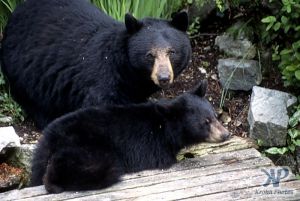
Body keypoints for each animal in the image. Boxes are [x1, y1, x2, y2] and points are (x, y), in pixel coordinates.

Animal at [0, 0, 191, 129]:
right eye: (149, 55)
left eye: (172, 52)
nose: (164, 77)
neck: (128, 73)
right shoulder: (103, 80)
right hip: (25, 70)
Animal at [31, 80, 230, 193]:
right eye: (205, 122)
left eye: (214, 115)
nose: (226, 134)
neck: (166, 128)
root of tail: (48, 138)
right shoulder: (154, 147)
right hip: (85, 146)